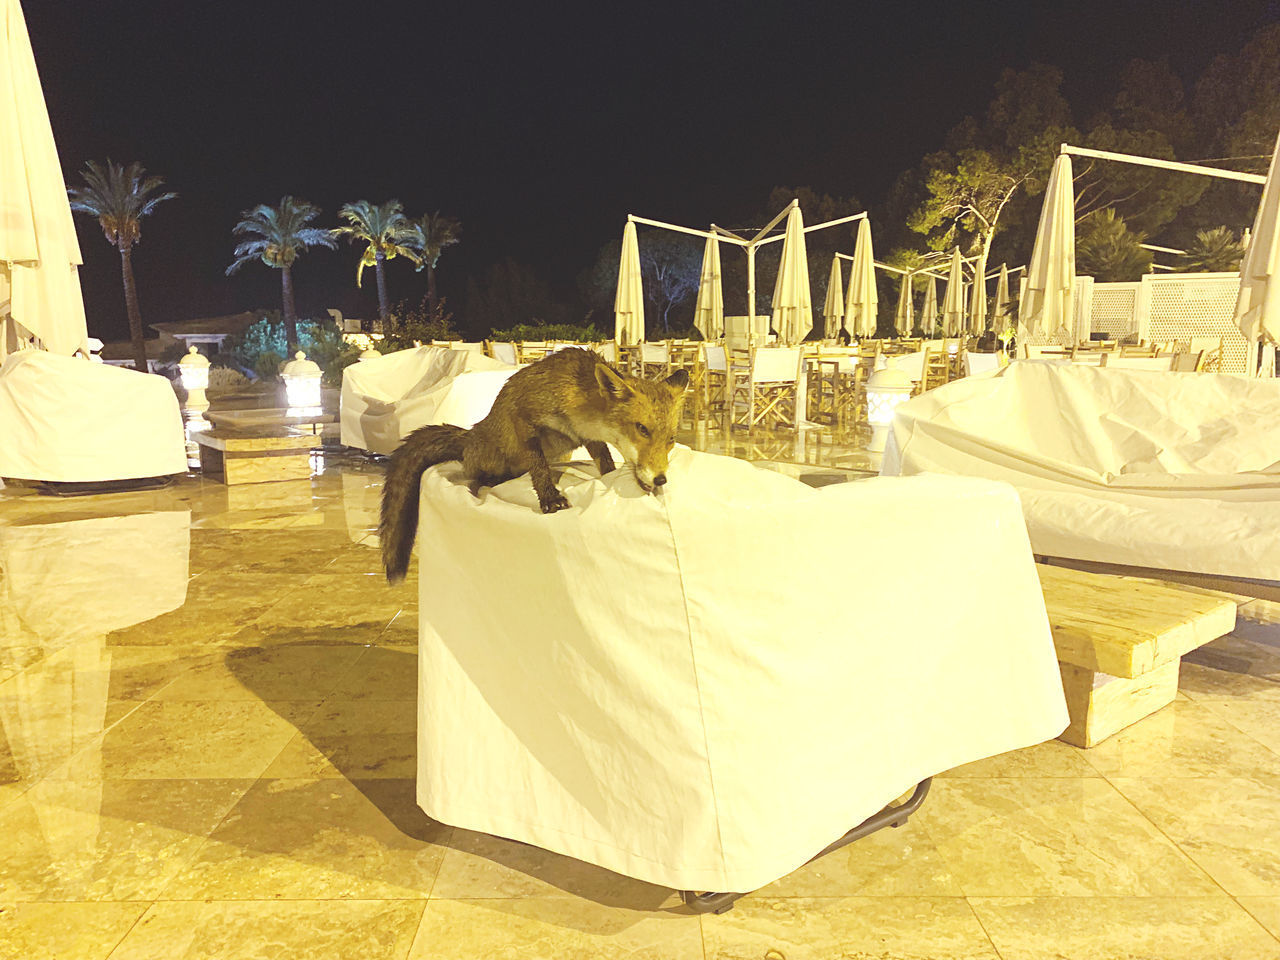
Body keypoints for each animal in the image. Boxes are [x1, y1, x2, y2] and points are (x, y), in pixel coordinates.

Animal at [378, 348, 691, 583]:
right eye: (642, 429)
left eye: (671, 439)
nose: (661, 479)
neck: (580, 399)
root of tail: (469, 435)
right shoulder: (524, 417)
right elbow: (538, 465)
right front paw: (550, 498)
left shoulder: (587, 438)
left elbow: (605, 462)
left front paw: (609, 476)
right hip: (489, 456)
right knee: (473, 474)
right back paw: (488, 481)